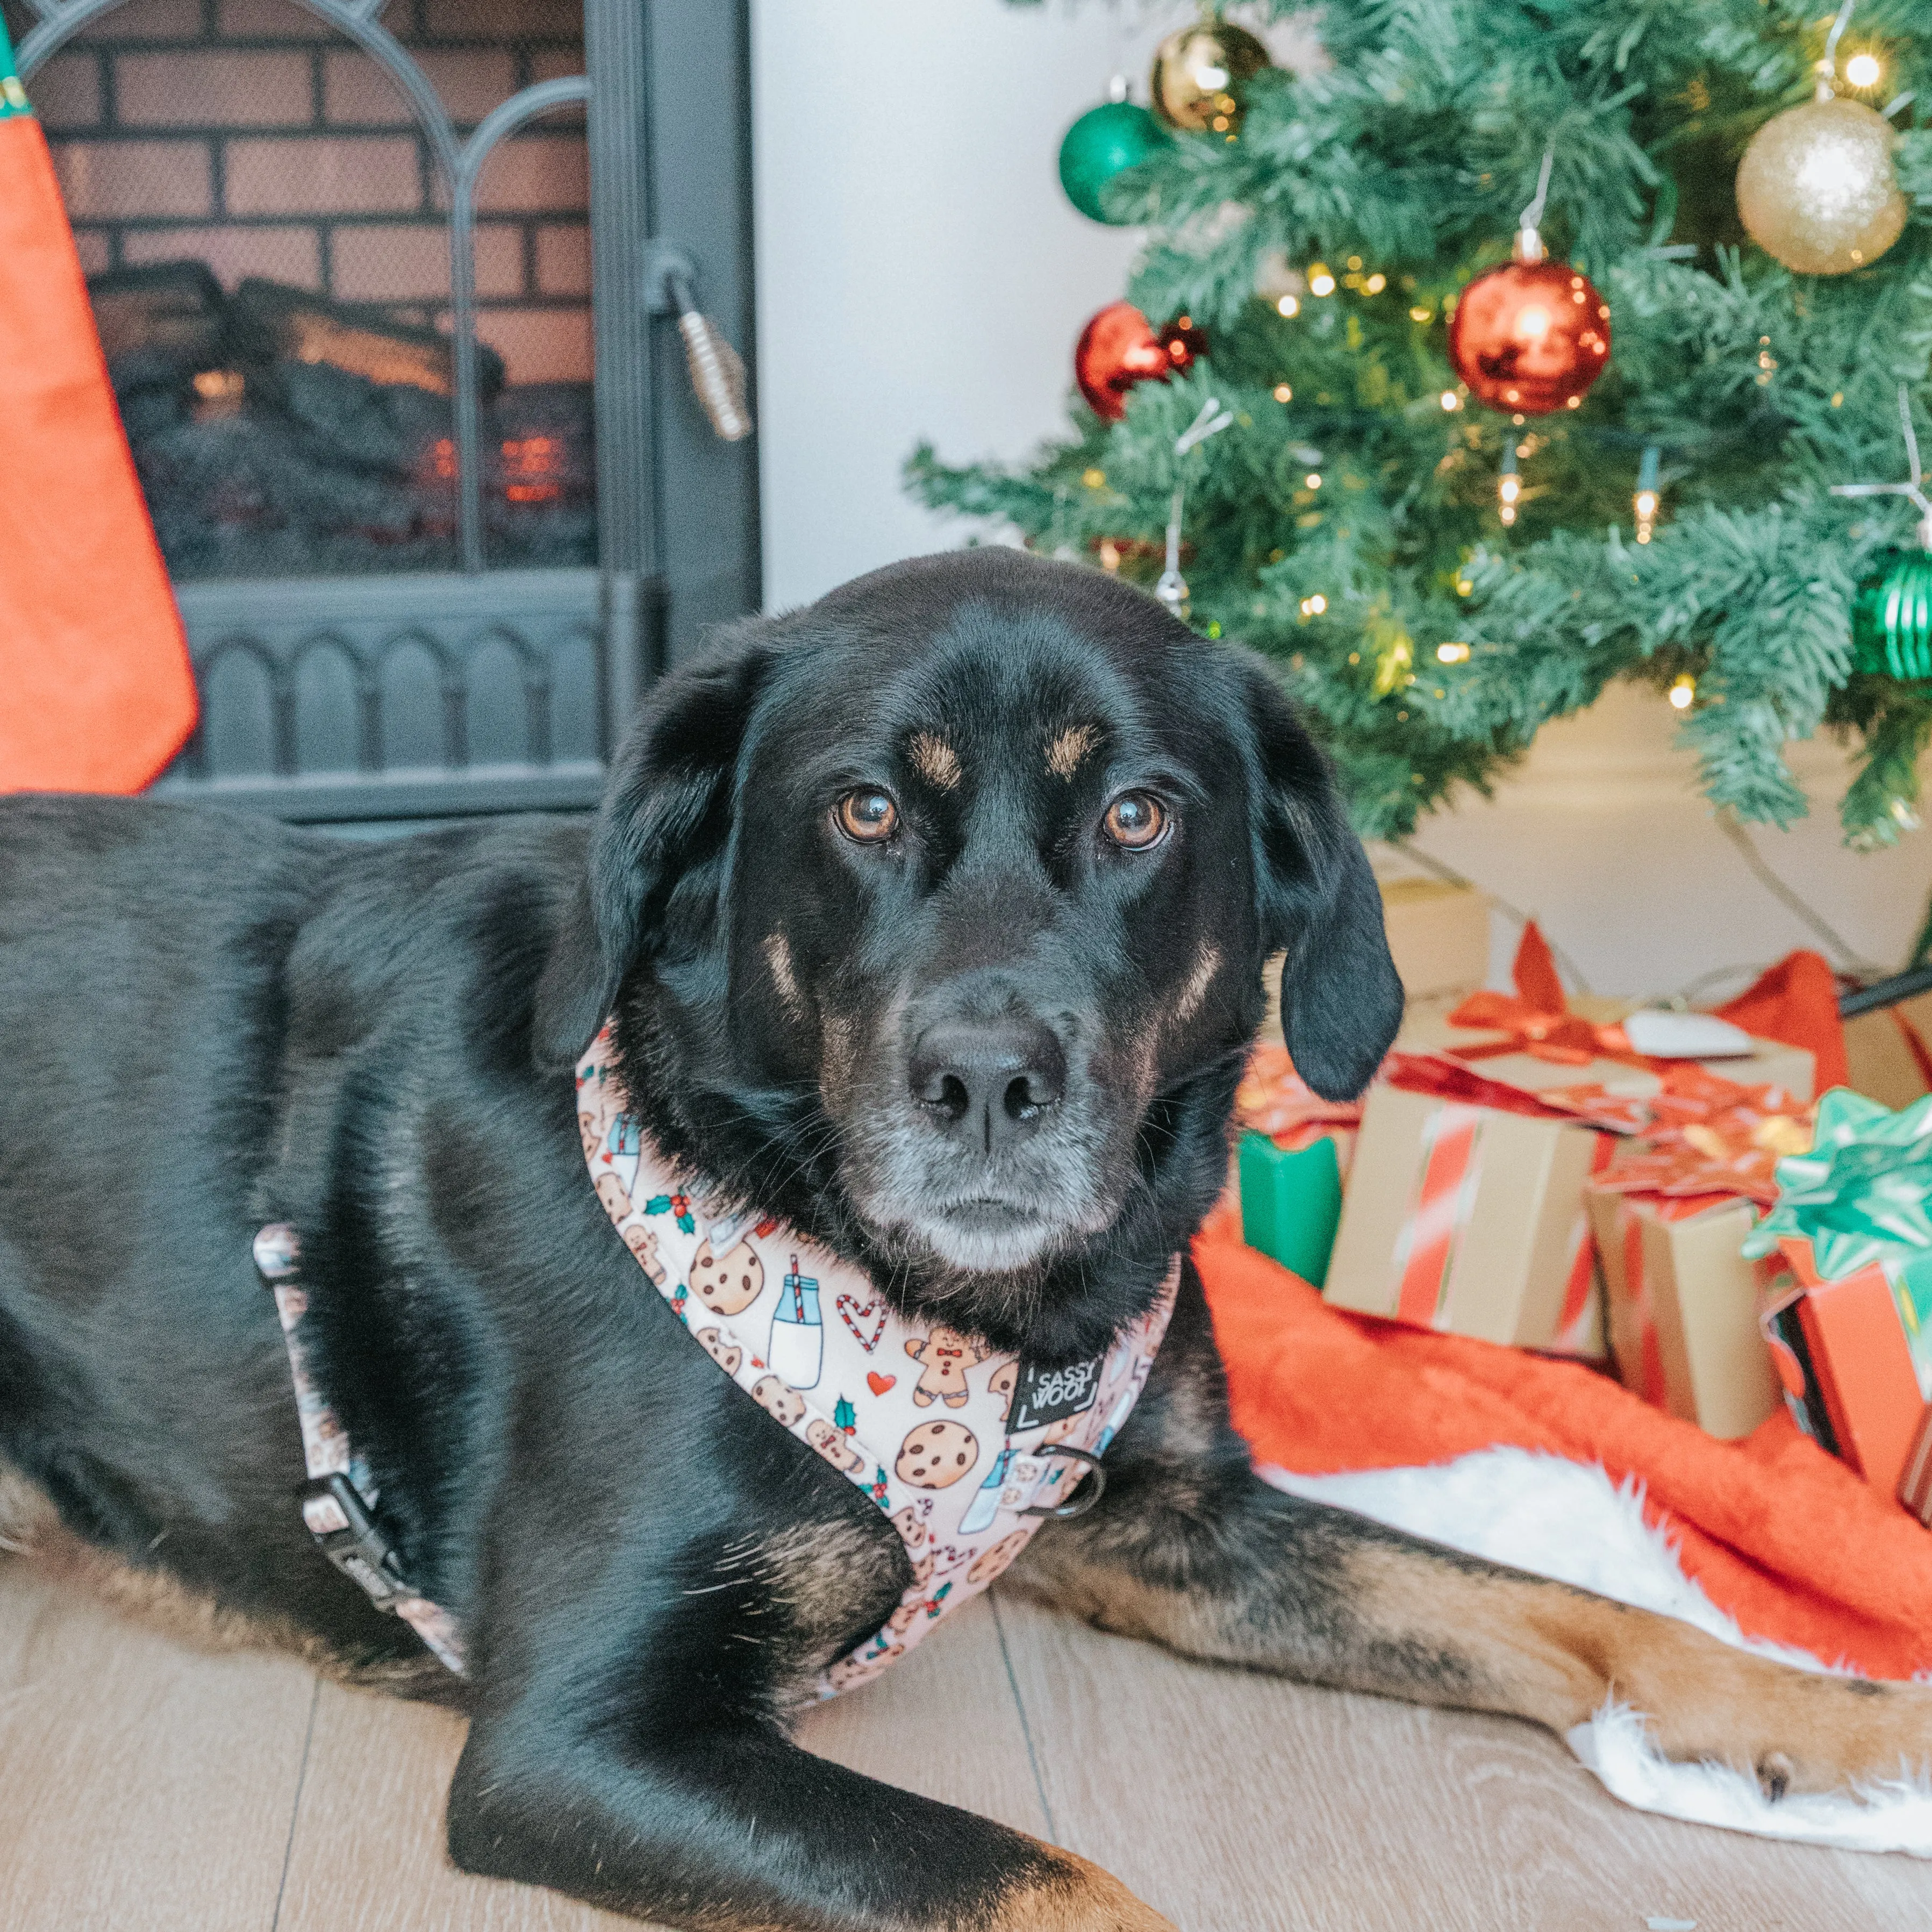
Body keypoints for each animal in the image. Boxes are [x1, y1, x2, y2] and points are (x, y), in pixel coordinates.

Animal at [4, 552, 1932, 1924]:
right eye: (864, 809)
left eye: (1138, 813)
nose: (988, 1079)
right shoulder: (580, 1735)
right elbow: (1058, 1883)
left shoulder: (1179, 1521)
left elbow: (1567, 1605)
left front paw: (1857, 1725)